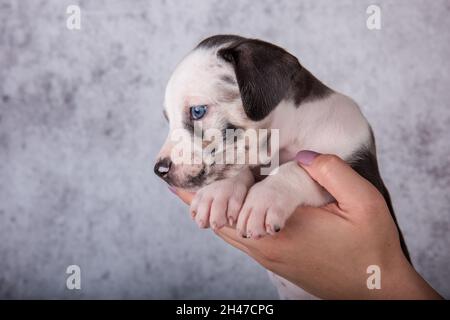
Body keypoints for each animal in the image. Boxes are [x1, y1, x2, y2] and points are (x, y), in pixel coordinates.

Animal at [156, 35, 412, 300]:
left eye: (197, 111)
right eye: (168, 119)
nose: (159, 170)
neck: (289, 136)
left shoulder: (363, 178)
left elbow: (299, 166)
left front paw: (266, 197)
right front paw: (220, 192)